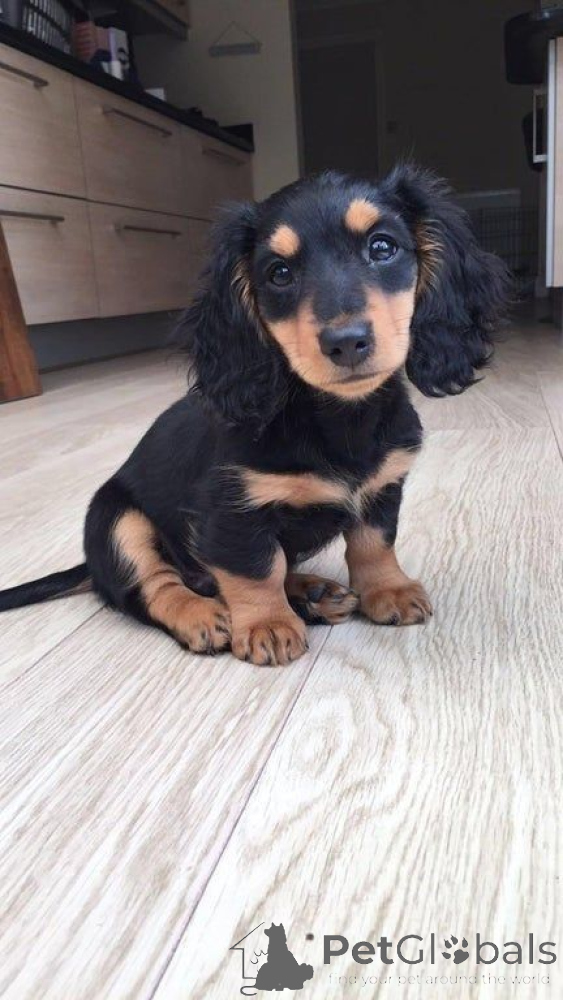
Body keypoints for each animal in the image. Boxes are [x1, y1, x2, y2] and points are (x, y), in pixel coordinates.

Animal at [0, 166, 509, 665]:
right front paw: (268, 624)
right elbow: (255, 568)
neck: (336, 419)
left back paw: (313, 593)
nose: (346, 342)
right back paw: (203, 614)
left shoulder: (383, 487)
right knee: (155, 586)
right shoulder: (232, 509)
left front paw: (388, 590)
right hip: (117, 519)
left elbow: (374, 543)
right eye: (278, 273)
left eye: (382, 247)